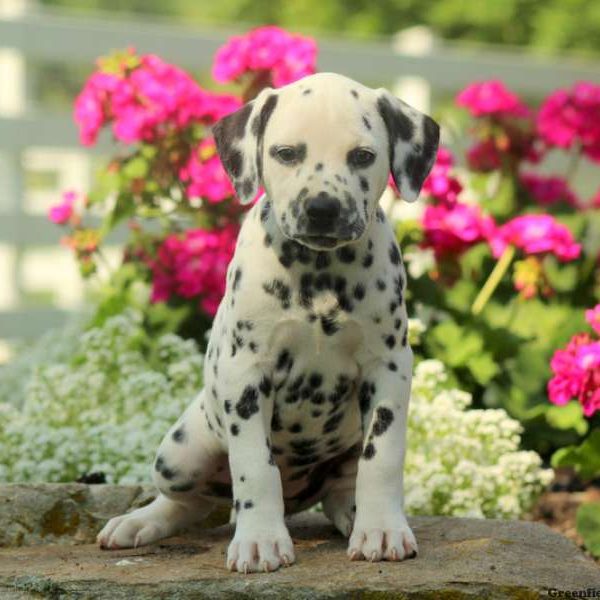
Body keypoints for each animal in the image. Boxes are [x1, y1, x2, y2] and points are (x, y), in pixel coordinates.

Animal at [96, 72, 438, 576]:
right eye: (286, 153)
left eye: (362, 155)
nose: (323, 208)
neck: (319, 273)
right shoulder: (246, 373)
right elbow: (255, 466)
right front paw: (259, 540)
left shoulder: (389, 368)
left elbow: (383, 457)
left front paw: (381, 529)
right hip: (180, 453)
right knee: (190, 502)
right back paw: (139, 523)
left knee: (342, 487)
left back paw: (354, 514)